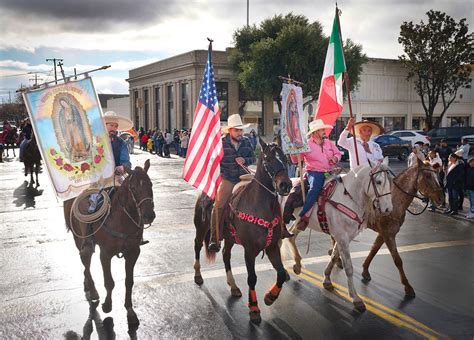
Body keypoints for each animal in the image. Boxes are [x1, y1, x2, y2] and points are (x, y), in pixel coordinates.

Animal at [63, 160, 155, 326]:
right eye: (133, 188)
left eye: (150, 184)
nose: (149, 215)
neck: (121, 220)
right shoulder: (105, 254)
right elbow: (109, 282)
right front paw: (107, 305)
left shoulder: (133, 252)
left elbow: (129, 281)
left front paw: (130, 310)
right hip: (79, 238)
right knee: (85, 259)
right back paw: (92, 289)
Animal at [193, 139, 292, 324]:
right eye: (267, 159)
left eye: (285, 158)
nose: (285, 185)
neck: (260, 206)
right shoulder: (250, 250)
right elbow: (252, 278)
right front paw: (254, 309)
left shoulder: (272, 247)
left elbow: (281, 274)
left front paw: (270, 297)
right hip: (201, 228)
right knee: (197, 246)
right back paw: (198, 275)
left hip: (230, 238)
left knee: (226, 254)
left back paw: (233, 286)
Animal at [282, 158, 392, 312]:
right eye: (379, 181)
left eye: (390, 182)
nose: (388, 209)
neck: (349, 198)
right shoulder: (342, 237)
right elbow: (349, 268)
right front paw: (356, 298)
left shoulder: (345, 237)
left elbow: (334, 257)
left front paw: (327, 280)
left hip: (298, 222)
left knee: (291, 236)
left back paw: (297, 265)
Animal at [362, 158, 444, 296]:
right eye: (427, 175)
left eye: (437, 175)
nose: (441, 198)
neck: (394, 200)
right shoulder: (388, 234)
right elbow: (398, 260)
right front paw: (408, 287)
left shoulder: (384, 234)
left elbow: (374, 250)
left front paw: (365, 271)